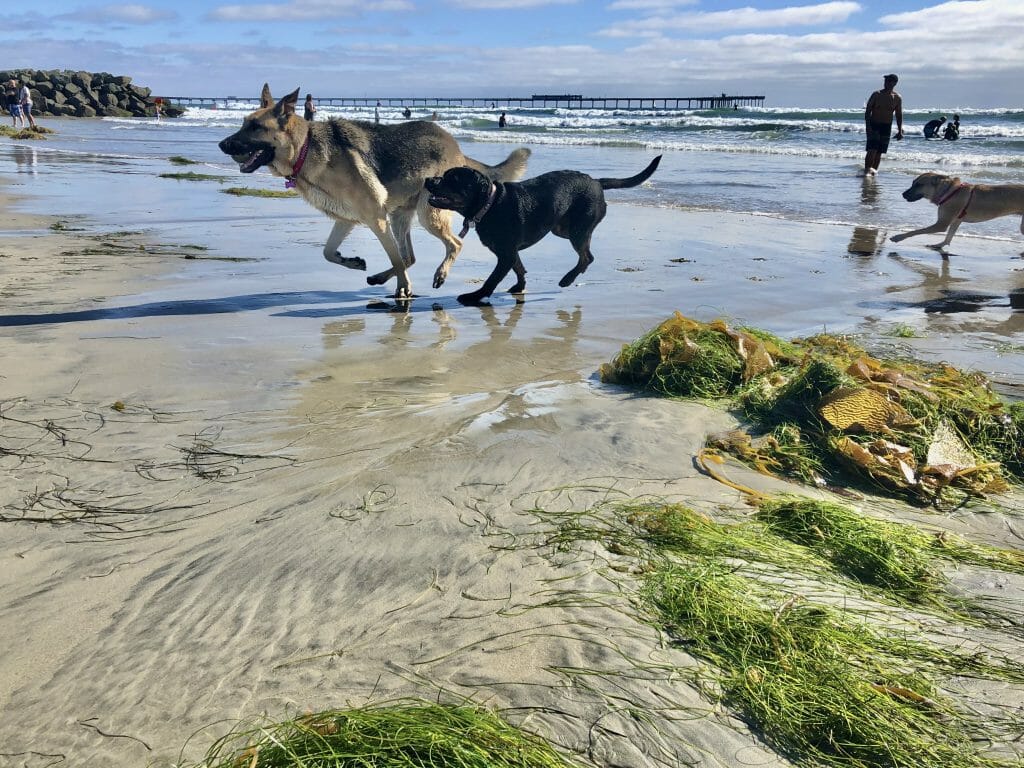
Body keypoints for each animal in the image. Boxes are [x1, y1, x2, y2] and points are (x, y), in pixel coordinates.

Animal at [219, 85, 532, 299]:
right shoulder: (347, 220)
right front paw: (352, 262)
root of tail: (455, 145)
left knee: (452, 244)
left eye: (256, 127)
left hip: (427, 213)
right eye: (244, 123)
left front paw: (404, 289)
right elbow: (328, 253)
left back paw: (438, 274)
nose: (222, 145)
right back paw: (382, 279)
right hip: (401, 216)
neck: (305, 148)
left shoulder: (376, 218)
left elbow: (394, 257)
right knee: (410, 256)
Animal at [425, 156, 659, 307]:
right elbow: (520, 268)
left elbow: (492, 280)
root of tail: (597, 181)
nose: (428, 179)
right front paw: (520, 286)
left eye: (452, 179)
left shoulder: (506, 254)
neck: (490, 204)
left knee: (587, 256)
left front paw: (475, 296)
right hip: (561, 228)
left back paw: (568, 279)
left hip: (578, 229)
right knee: (586, 254)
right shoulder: (510, 252)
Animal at [888, 172, 1024, 252]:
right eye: (913, 183)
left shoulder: (941, 224)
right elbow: (949, 235)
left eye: (919, 185)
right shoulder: (956, 220)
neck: (948, 191)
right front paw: (940, 245)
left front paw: (898, 237)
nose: (903, 194)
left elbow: (916, 231)